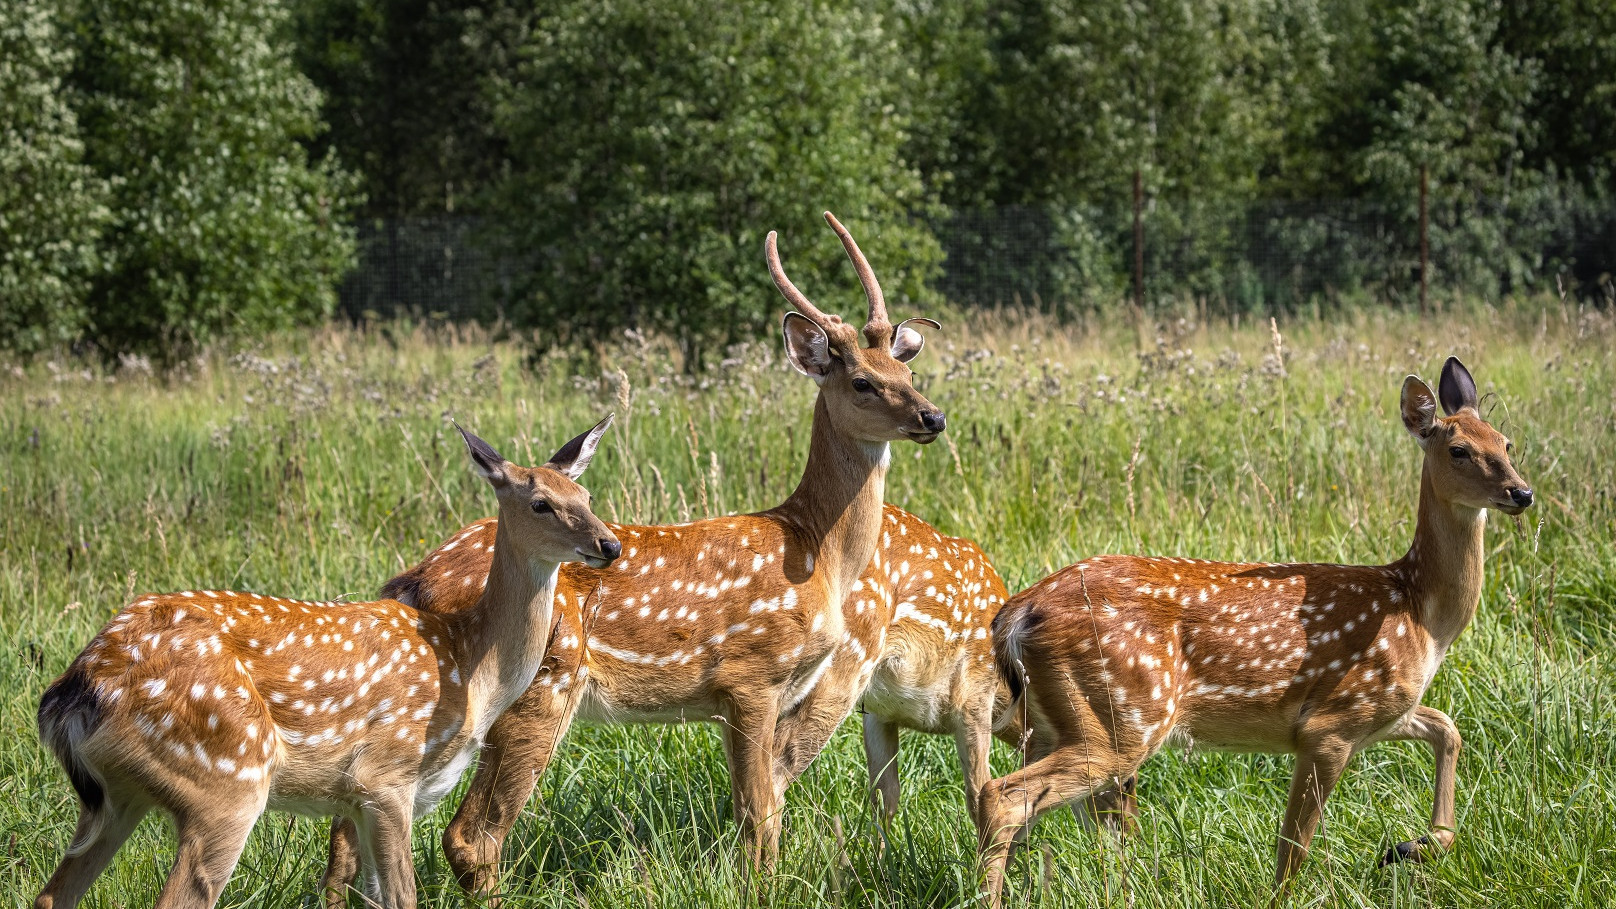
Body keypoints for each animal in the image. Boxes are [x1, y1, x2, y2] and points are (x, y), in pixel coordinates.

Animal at [37, 420, 620, 905]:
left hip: (117, 798)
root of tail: (76, 690)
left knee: (52, 895)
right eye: (540, 503)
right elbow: (403, 898)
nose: (609, 544)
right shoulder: (385, 777)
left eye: (587, 495)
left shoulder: (362, 798)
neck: (471, 666)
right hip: (225, 782)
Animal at [321, 211, 943, 899]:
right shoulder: (751, 675)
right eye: (863, 382)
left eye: (911, 375)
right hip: (542, 684)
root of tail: (412, 579)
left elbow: (762, 806)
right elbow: (759, 814)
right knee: (470, 835)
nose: (932, 417)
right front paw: (760, 891)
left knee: (348, 837)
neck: (813, 551)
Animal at [976, 357, 1531, 899]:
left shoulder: (1386, 711)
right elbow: (1293, 848)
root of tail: (1018, 611)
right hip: (1122, 717)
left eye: (1506, 443)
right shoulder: (1331, 724)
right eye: (1459, 450)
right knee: (1004, 795)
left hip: (1056, 721)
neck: (1419, 614)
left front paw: (1416, 846)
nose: (1521, 492)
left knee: (1030, 809)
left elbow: (1447, 729)